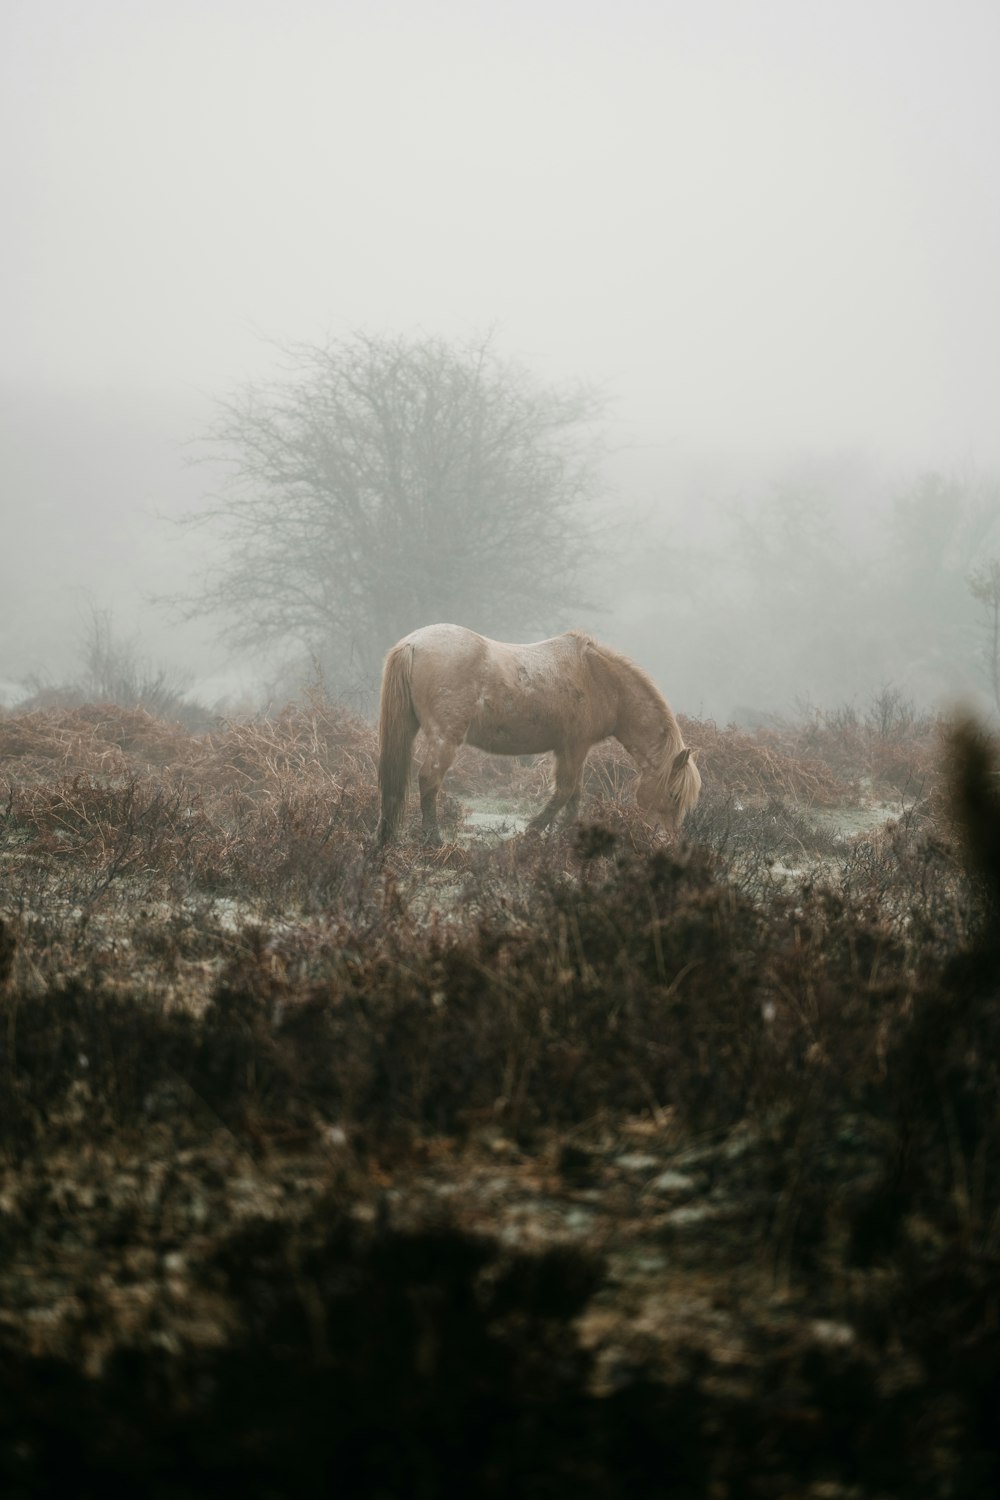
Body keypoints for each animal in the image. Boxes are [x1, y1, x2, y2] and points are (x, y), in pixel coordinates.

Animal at [374, 621, 704, 846]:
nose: (665, 840)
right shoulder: (574, 748)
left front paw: (566, 837)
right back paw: (433, 839)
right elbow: (565, 792)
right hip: (445, 738)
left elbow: (574, 795)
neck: (599, 678)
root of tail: (413, 643)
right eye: (673, 795)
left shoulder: (572, 751)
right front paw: (534, 832)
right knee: (429, 780)